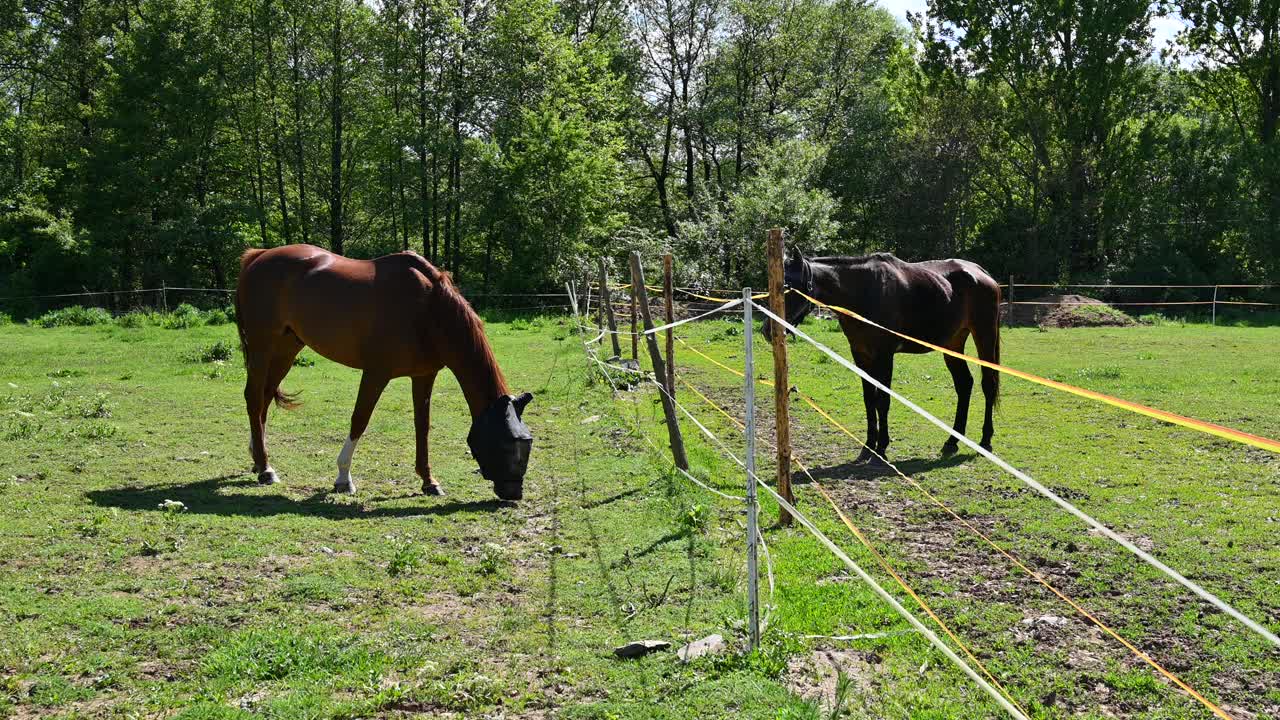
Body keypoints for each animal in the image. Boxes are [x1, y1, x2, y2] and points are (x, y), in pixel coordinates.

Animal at [238, 242, 532, 499]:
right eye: (506, 444)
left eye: (527, 444)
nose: (513, 494)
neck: (427, 308)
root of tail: (259, 255)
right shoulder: (376, 374)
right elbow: (360, 419)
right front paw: (343, 478)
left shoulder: (424, 375)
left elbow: (422, 425)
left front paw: (429, 481)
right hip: (263, 349)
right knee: (253, 398)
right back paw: (265, 469)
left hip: (286, 349)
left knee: (265, 397)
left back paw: (257, 458)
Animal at [762, 248, 1003, 458]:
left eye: (790, 288)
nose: (768, 330)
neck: (863, 292)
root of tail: (981, 273)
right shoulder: (861, 355)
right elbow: (869, 398)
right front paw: (869, 445)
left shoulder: (884, 356)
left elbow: (883, 400)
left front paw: (882, 447)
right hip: (953, 343)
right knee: (964, 385)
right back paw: (952, 441)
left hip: (984, 335)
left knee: (988, 384)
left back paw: (985, 440)